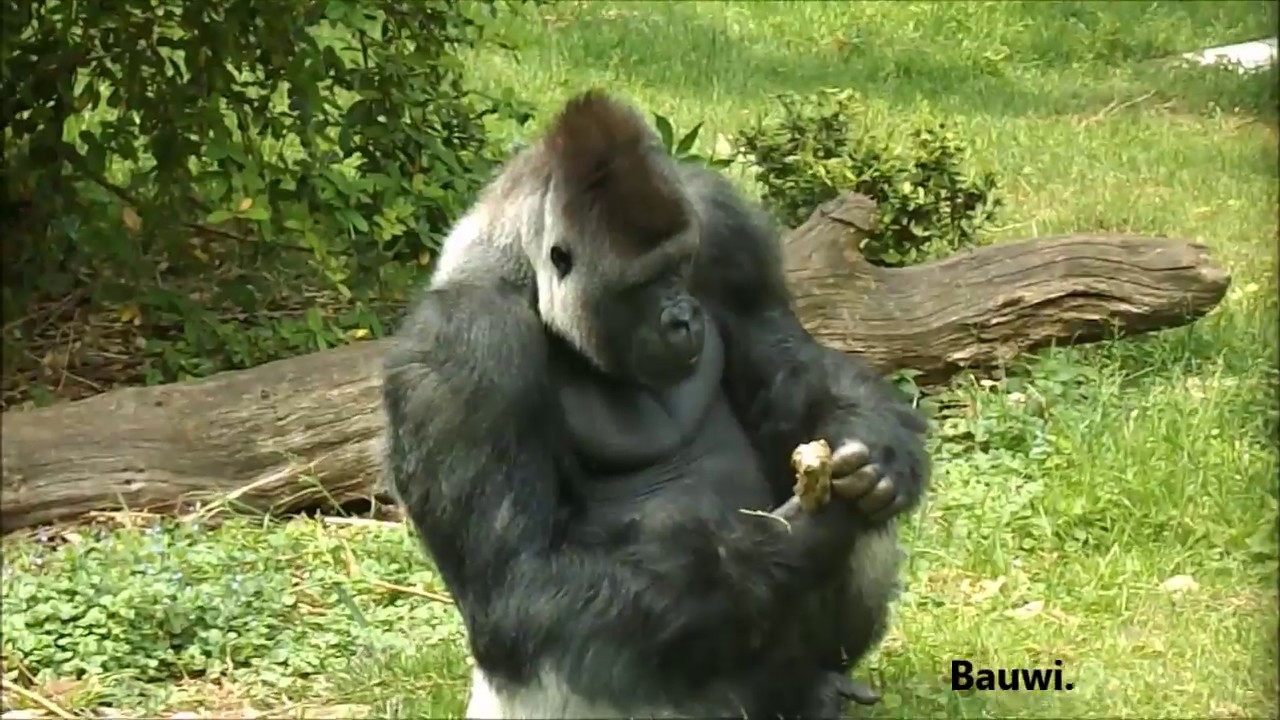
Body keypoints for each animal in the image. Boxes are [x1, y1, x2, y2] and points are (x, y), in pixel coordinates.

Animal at [382, 90, 929, 718]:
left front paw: (880, 452)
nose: (683, 317)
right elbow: (522, 581)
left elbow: (790, 368)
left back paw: (816, 682)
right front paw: (795, 540)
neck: (525, 271)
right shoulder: (462, 345)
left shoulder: (720, 222)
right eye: (642, 283)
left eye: (680, 265)